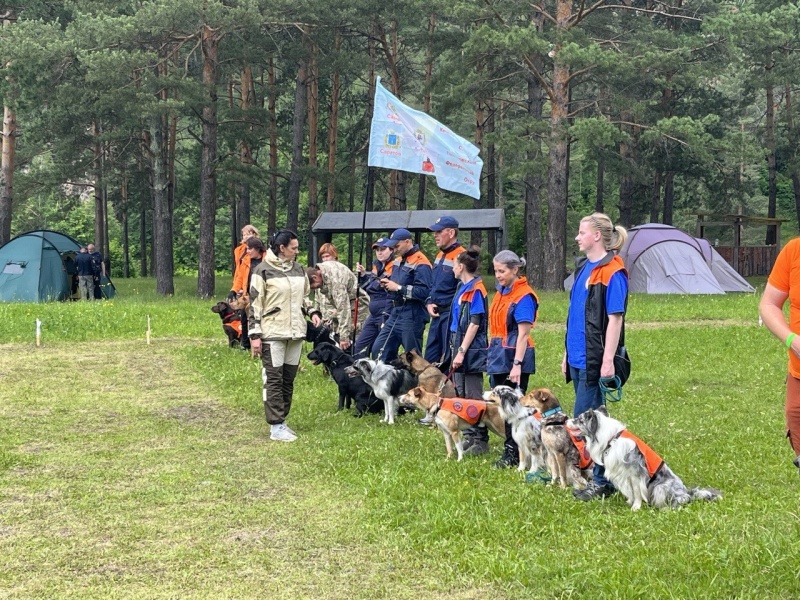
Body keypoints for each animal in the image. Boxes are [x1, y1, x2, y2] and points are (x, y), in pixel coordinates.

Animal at [564, 406, 720, 508]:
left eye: (578, 420)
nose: (566, 420)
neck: (612, 439)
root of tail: (687, 492)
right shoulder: (624, 474)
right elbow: (632, 491)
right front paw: (630, 502)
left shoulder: (635, 473)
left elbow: (637, 492)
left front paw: (636, 507)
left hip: (660, 487)